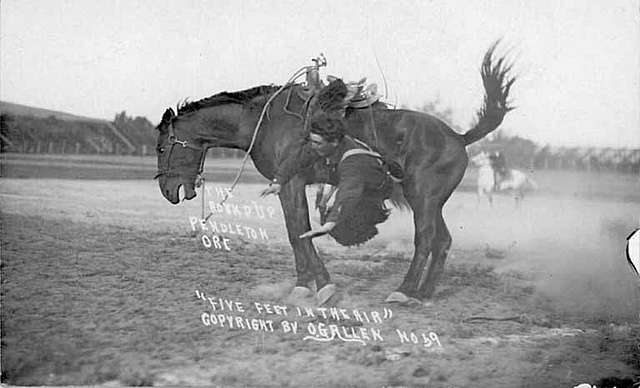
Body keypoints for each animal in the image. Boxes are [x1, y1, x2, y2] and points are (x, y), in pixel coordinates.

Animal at [151, 42, 516, 306]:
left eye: (162, 147)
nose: (167, 190)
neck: (265, 122)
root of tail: (459, 137)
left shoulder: (292, 183)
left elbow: (299, 231)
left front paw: (324, 287)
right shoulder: (284, 185)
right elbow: (295, 232)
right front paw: (303, 286)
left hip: (422, 197)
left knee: (425, 238)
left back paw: (404, 291)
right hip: (427, 200)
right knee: (442, 240)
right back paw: (423, 293)